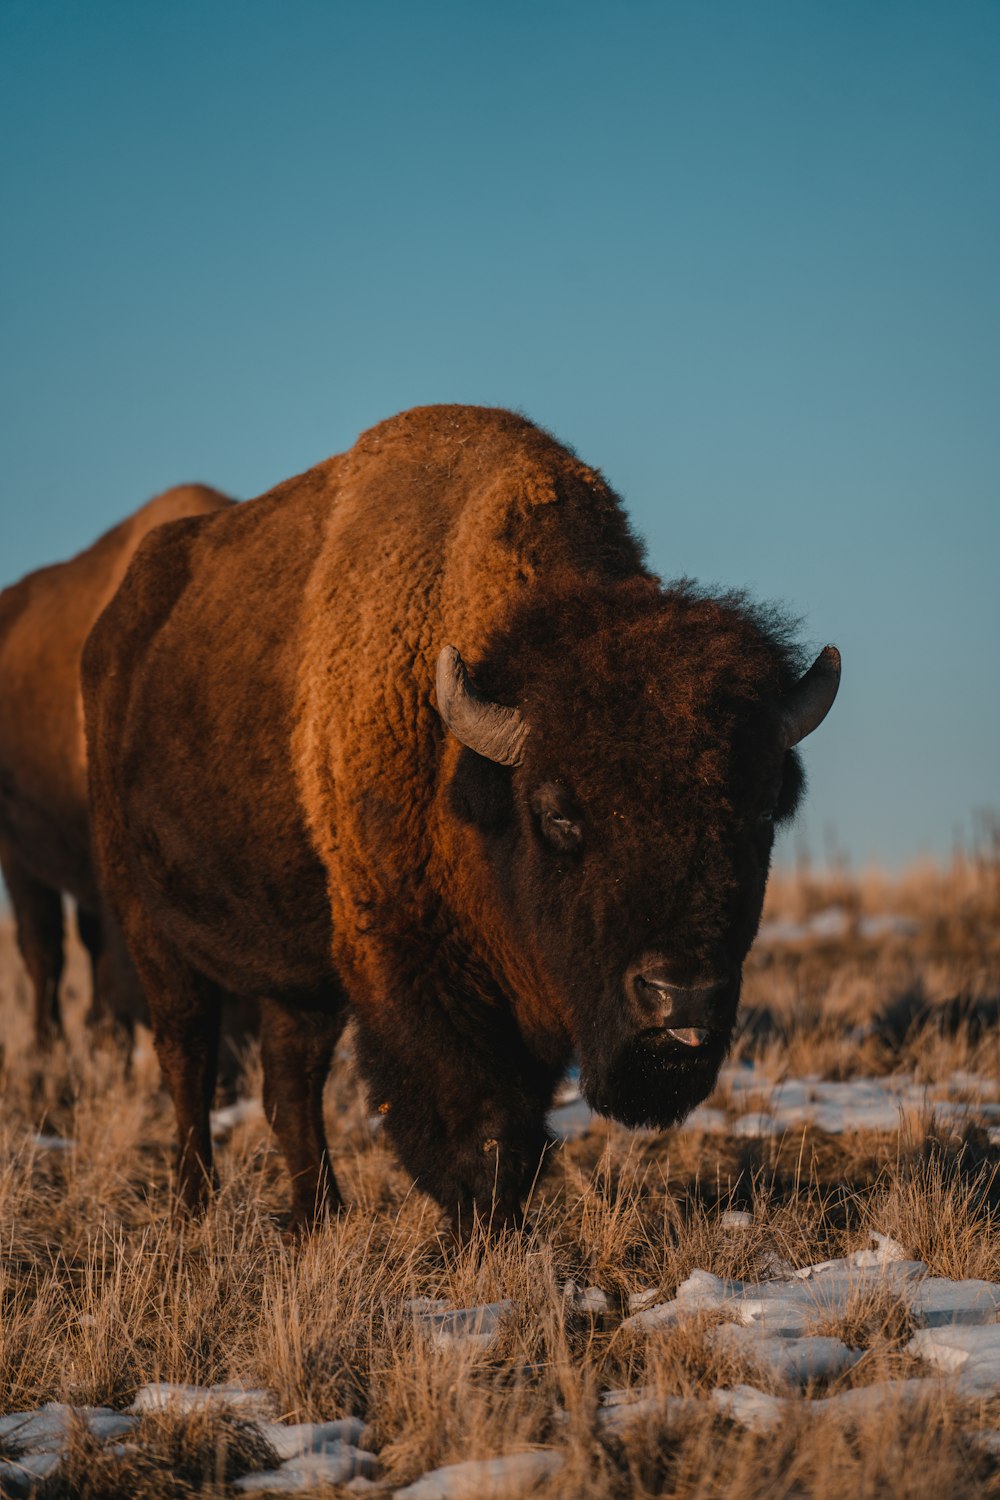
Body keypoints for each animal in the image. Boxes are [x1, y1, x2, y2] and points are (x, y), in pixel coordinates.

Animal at [82, 408, 839, 1230]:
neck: (474, 778)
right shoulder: (407, 959)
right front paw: (482, 1227)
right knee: (186, 1054)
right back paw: (196, 1204)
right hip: (147, 922)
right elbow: (479, 1124)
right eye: (558, 814)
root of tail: (115, 631)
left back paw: (320, 1216)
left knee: (290, 1079)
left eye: (761, 808)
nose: (682, 994)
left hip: (297, 970)